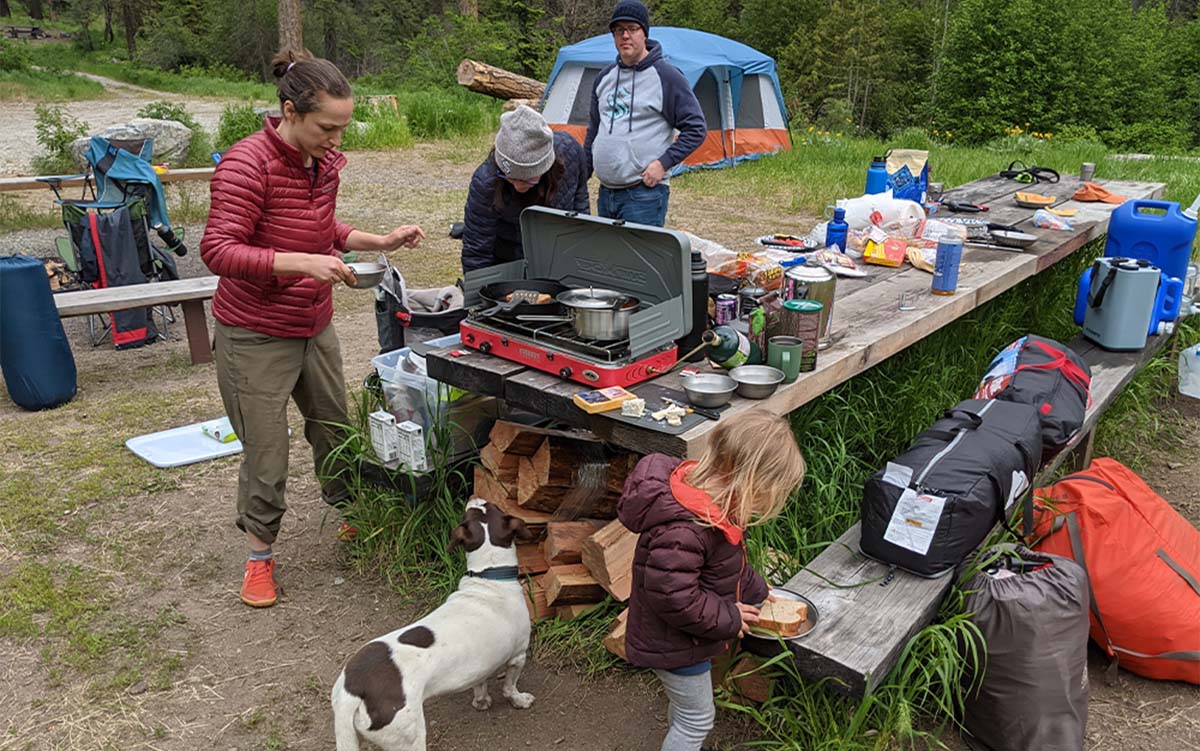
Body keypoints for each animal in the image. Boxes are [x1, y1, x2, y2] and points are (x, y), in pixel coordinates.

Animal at [328, 496, 535, 748]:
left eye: (486, 508)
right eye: (495, 506)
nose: (474, 496)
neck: (490, 577)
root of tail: (352, 689)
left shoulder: (480, 666)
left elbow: (480, 683)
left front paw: (482, 701)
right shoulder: (518, 656)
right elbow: (509, 688)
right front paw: (520, 700)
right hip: (410, 737)